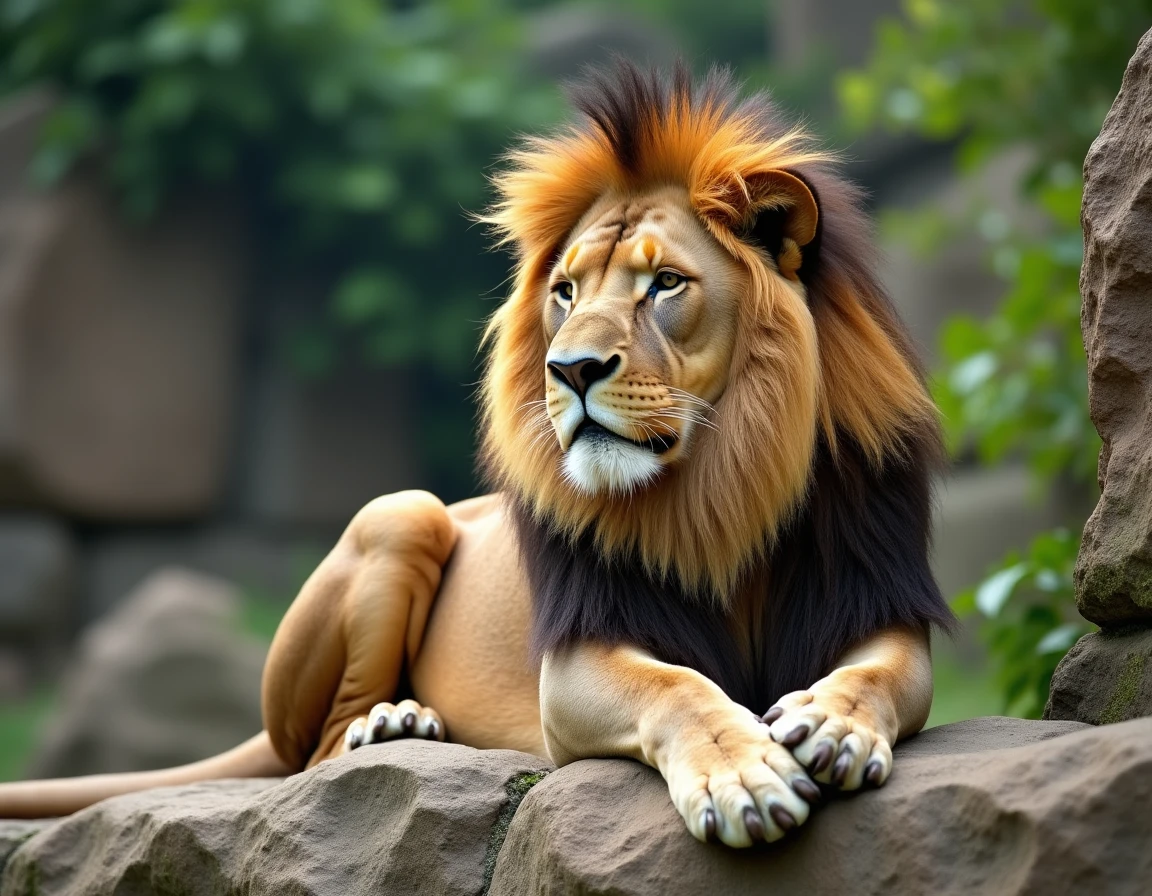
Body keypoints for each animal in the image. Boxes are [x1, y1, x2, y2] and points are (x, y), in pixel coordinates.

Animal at [0, 63, 954, 848]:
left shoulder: (876, 593)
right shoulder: (574, 660)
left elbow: (878, 672)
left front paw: (831, 723)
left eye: (665, 284)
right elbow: (679, 689)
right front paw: (745, 777)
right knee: (314, 756)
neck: (725, 481)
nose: (570, 369)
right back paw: (391, 727)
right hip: (403, 514)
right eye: (565, 291)